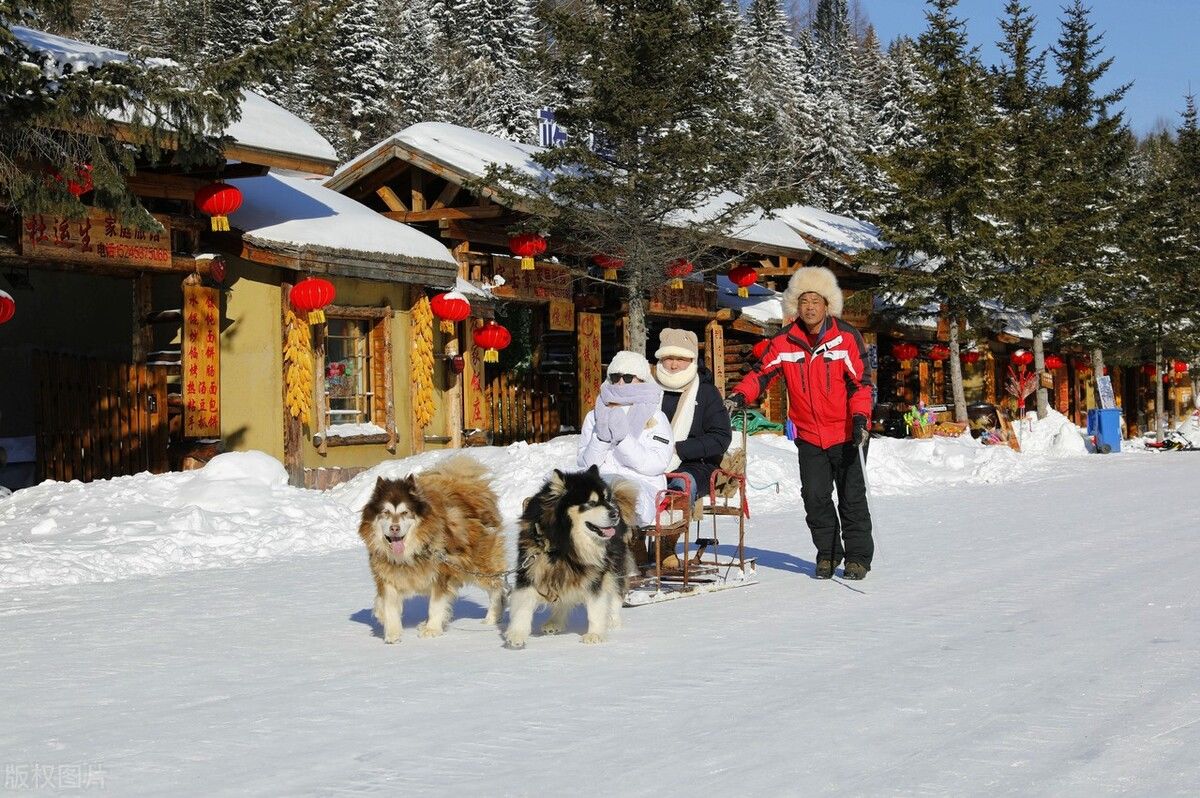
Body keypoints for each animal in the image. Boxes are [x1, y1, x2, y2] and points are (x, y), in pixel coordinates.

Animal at [355, 453, 506, 643]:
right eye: (385, 513)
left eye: (405, 512)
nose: (394, 528)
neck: (409, 552)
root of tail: (467, 488)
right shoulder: (387, 574)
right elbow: (387, 605)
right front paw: (392, 632)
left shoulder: (441, 573)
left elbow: (436, 604)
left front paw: (432, 630)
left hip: (478, 566)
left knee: (497, 587)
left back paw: (492, 617)